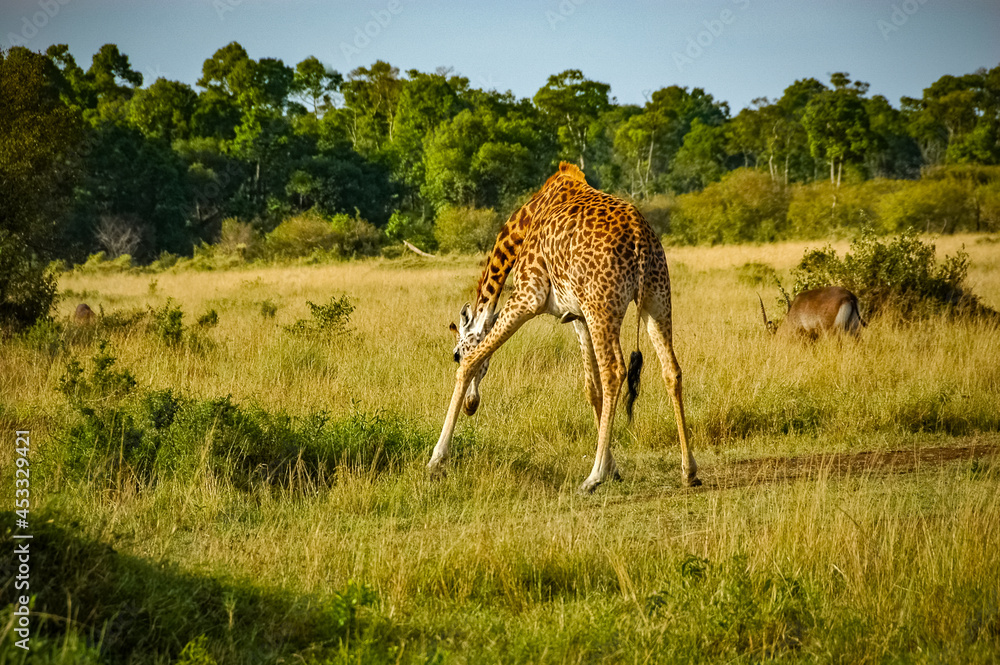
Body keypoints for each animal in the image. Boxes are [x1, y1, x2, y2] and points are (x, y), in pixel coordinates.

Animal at [427, 162, 700, 493]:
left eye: (454, 354)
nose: (471, 405)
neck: (525, 222)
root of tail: (640, 241)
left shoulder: (528, 296)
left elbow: (471, 361)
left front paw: (437, 459)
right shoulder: (578, 316)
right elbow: (591, 389)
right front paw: (613, 468)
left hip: (603, 304)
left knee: (615, 371)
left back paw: (592, 477)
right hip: (654, 297)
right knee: (670, 369)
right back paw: (689, 471)